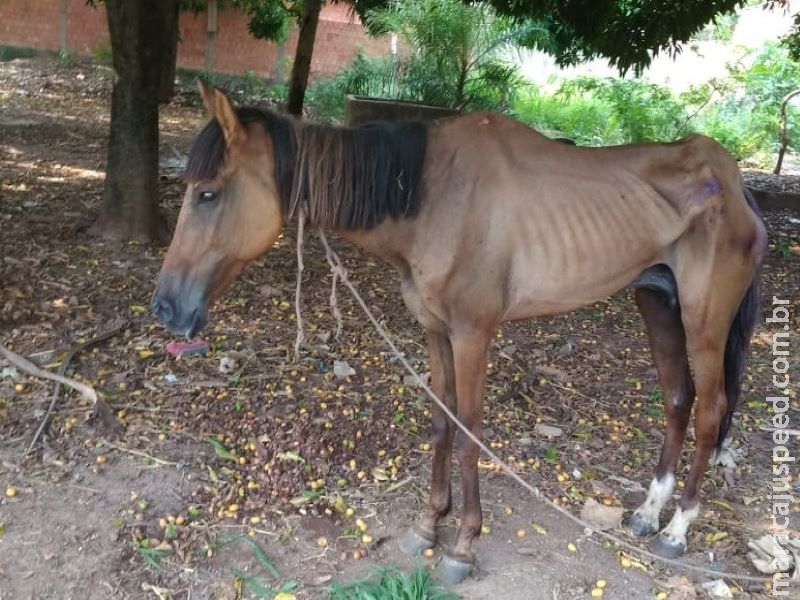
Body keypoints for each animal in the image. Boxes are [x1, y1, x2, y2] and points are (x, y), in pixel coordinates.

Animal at [152, 82, 768, 584]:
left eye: (208, 193)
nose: (165, 307)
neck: (432, 194)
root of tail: (733, 185)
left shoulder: (473, 334)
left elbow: (470, 433)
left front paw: (464, 545)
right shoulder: (434, 331)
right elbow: (442, 424)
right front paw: (429, 524)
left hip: (704, 324)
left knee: (710, 413)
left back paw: (678, 528)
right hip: (658, 305)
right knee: (677, 400)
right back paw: (646, 513)